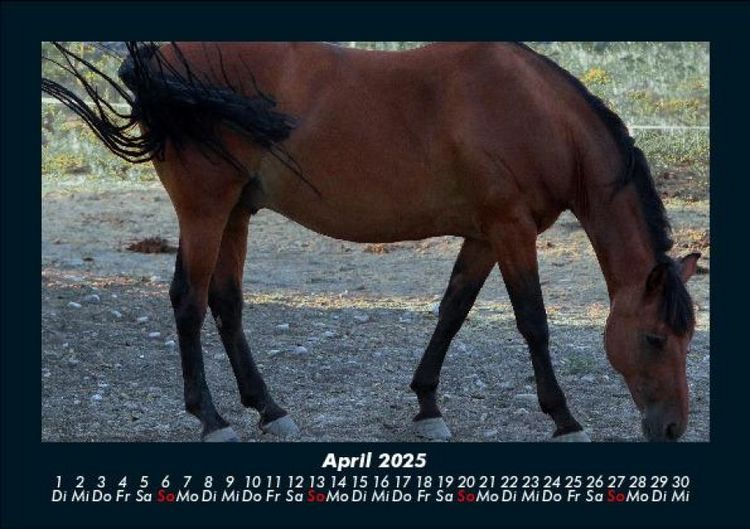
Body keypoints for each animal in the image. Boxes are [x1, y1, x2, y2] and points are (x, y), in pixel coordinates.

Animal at [42, 41, 701, 442]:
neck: (534, 114)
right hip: (204, 210)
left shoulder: (484, 236)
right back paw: (212, 418)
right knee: (189, 302)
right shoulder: (510, 231)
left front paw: (428, 405)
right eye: (654, 337)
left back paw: (269, 409)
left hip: (235, 213)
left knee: (226, 304)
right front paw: (564, 417)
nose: (672, 429)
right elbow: (533, 323)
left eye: (687, 338)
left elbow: (453, 310)